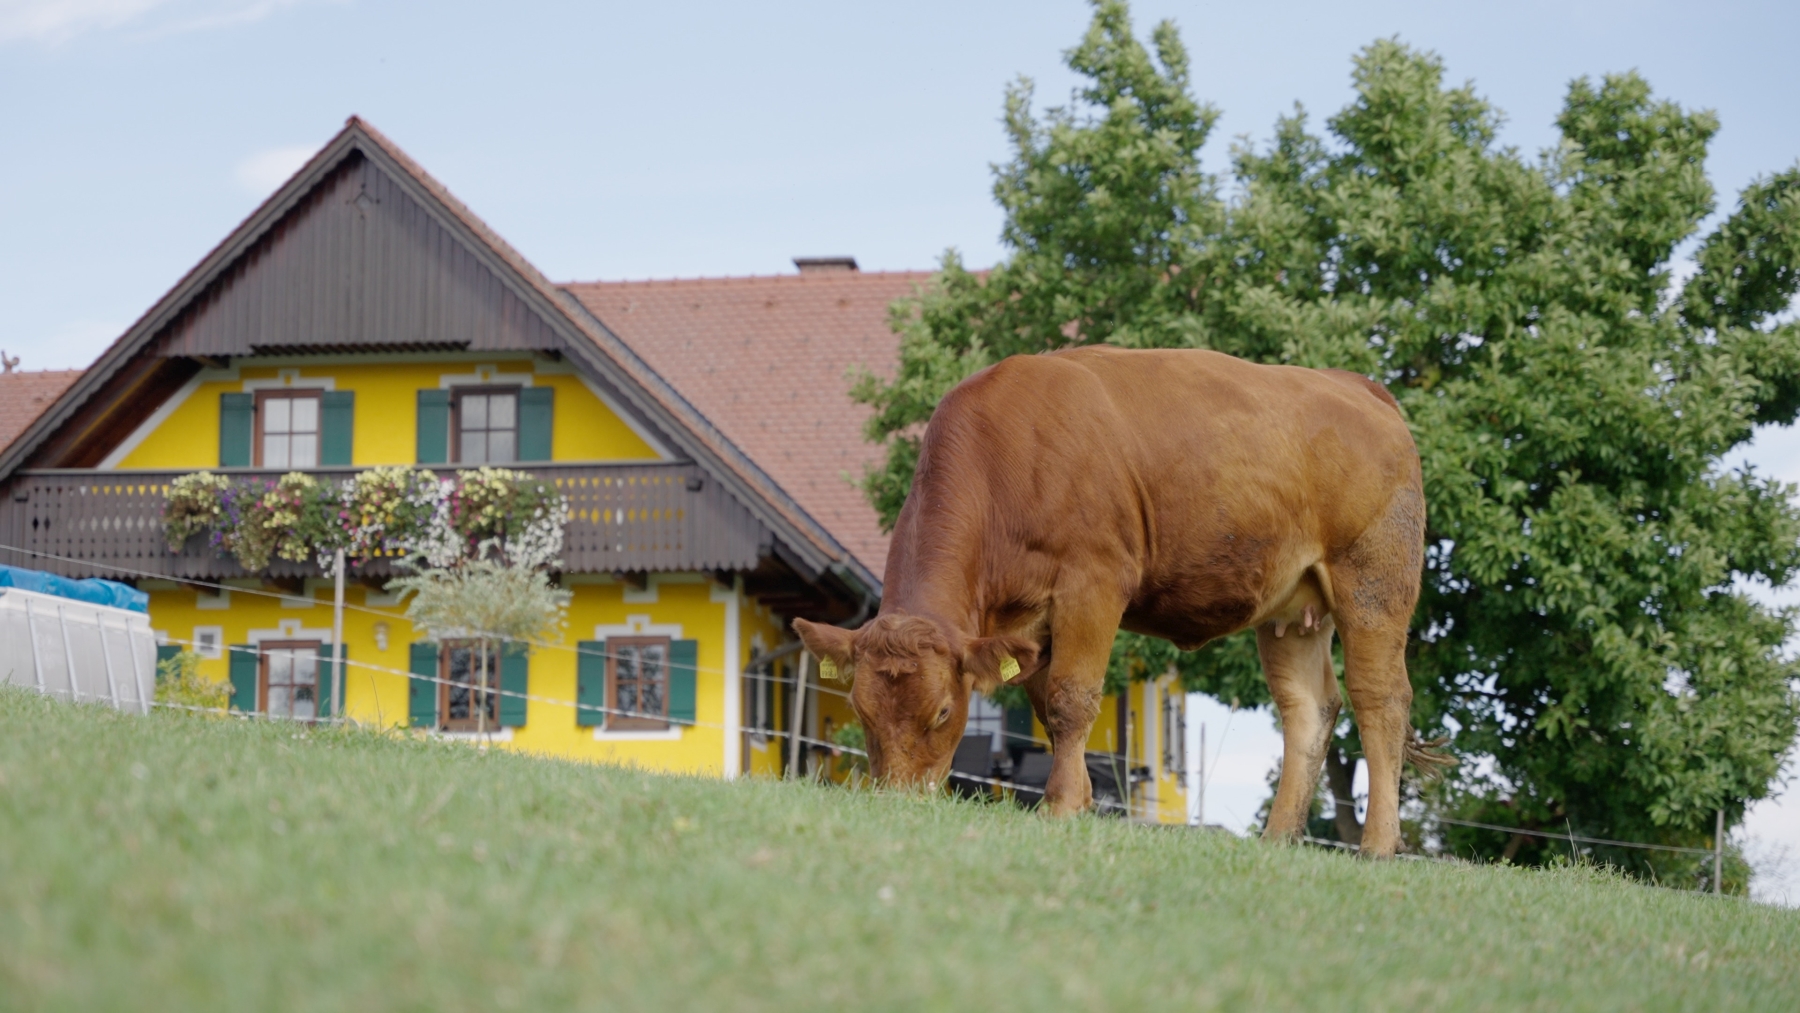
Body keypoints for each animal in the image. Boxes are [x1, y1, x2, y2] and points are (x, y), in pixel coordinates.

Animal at [794, 345, 1429, 857]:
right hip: (1292, 611)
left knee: (1380, 699)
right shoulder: (1029, 626)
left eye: (945, 713)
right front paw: (1079, 799)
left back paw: (1377, 844)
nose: (899, 801)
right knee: (1308, 708)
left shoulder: (1093, 584)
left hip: (1373, 579)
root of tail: (1357, 385)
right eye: (861, 711)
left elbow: (1074, 699)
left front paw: (1058, 807)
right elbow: (1050, 710)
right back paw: (1278, 839)